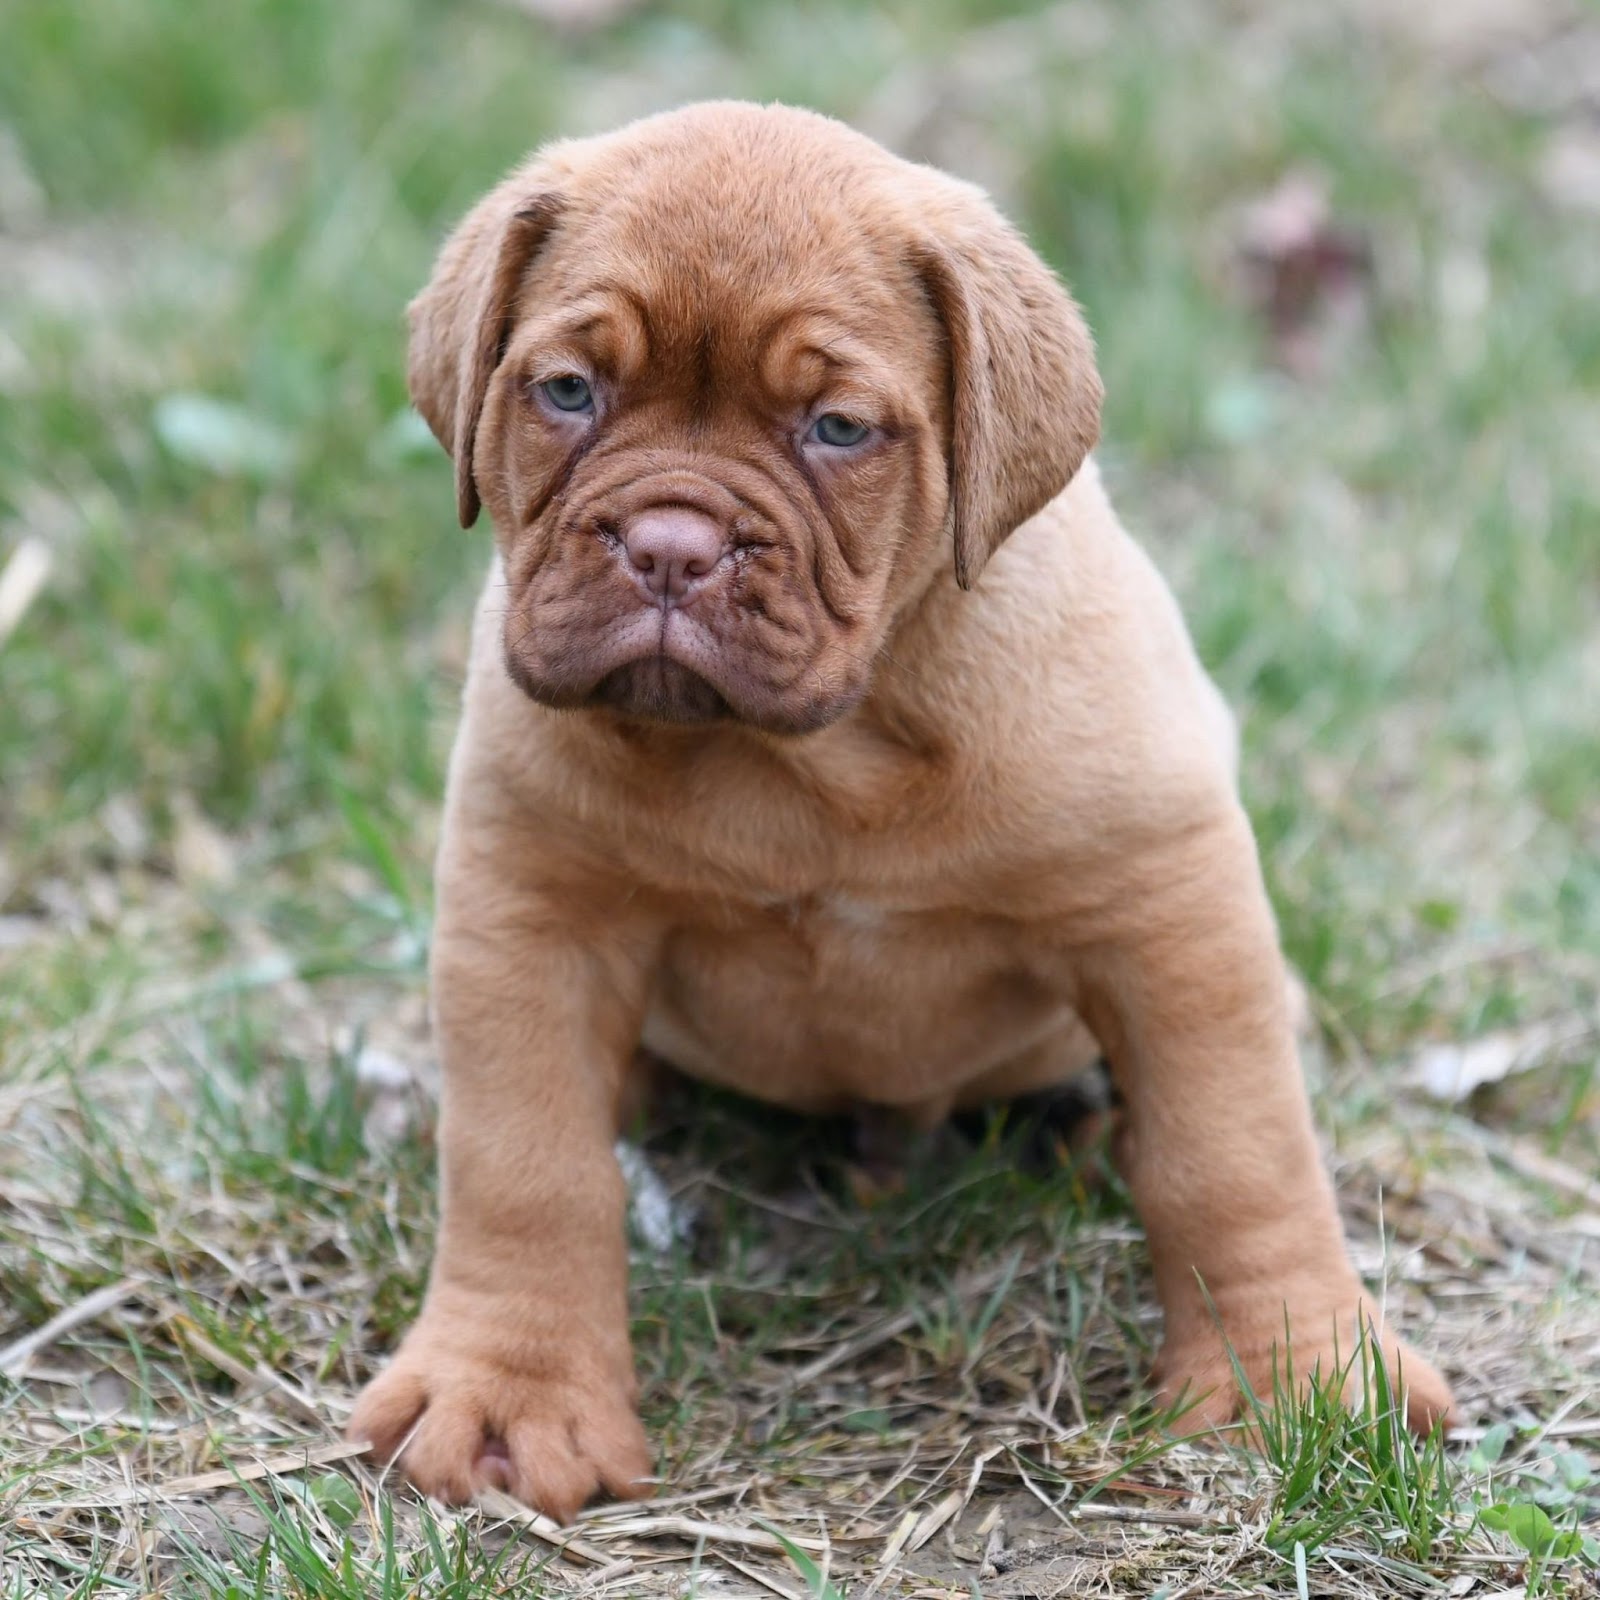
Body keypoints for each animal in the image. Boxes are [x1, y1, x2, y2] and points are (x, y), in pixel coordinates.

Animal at [347, 93, 1452, 1516]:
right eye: (568, 391)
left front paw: (1296, 1376)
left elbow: (1235, 1153)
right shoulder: (529, 916)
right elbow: (525, 1167)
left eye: (836, 428)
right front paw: (509, 1392)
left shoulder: (1169, 909)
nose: (668, 547)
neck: (809, 759)